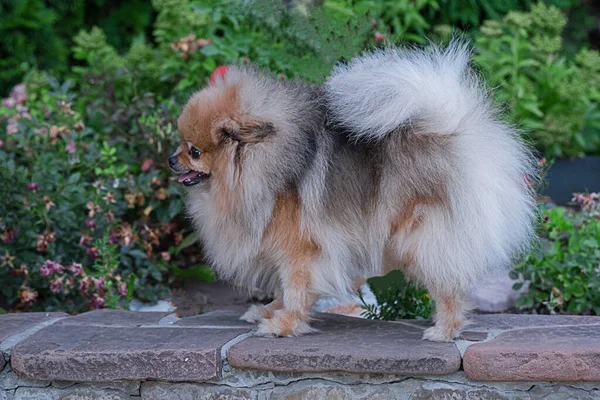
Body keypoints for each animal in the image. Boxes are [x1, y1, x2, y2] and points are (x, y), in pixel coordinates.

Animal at [168, 40, 536, 342]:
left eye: (194, 151)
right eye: (180, 144)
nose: (172, 159)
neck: (261, 166)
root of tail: (454, 133)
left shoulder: (300, 250)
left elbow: (295, 289)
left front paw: (284, 325)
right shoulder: (282, 249)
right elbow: (283, 289)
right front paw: (269, 311)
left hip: (422, 238)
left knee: (449, 287)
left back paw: (444, 330)